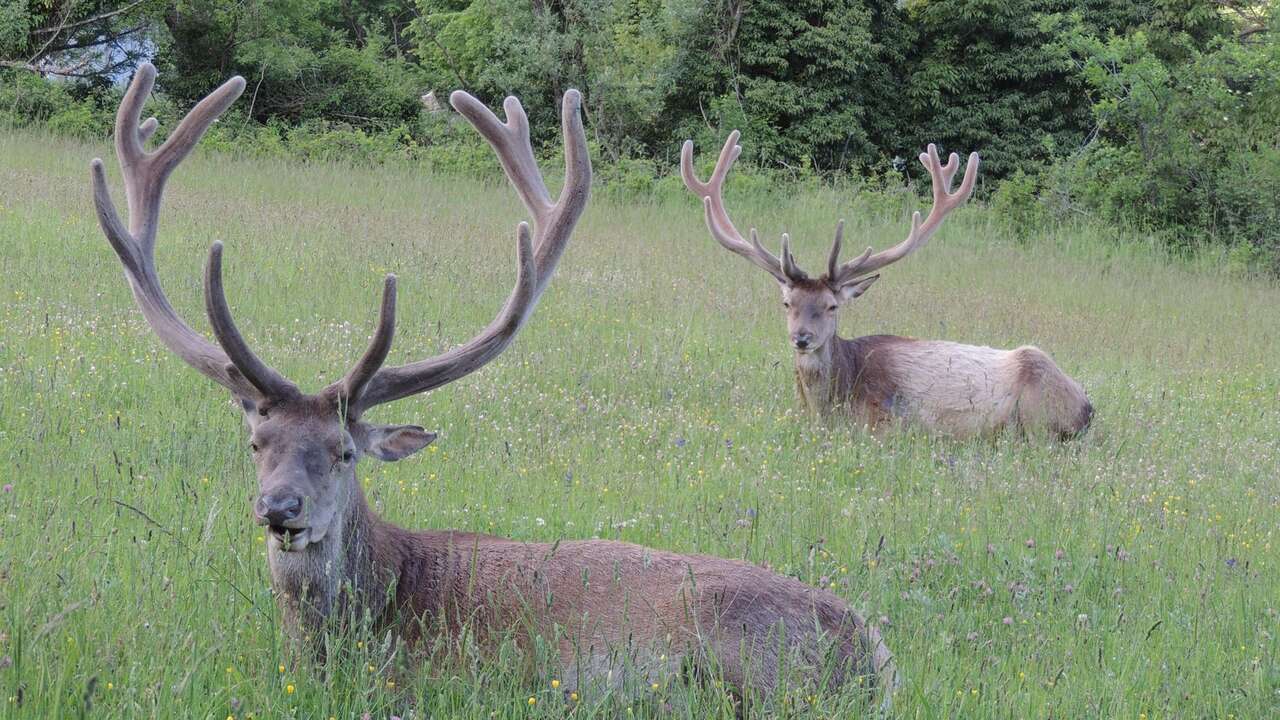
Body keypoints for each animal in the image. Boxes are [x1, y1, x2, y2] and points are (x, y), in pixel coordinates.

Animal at [686, 131, 1095, 440]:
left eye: (832, 306)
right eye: (788, 303)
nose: (801, 338)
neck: (827, 407)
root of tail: (1088, 408)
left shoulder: (885, 423)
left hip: (1038, 412)